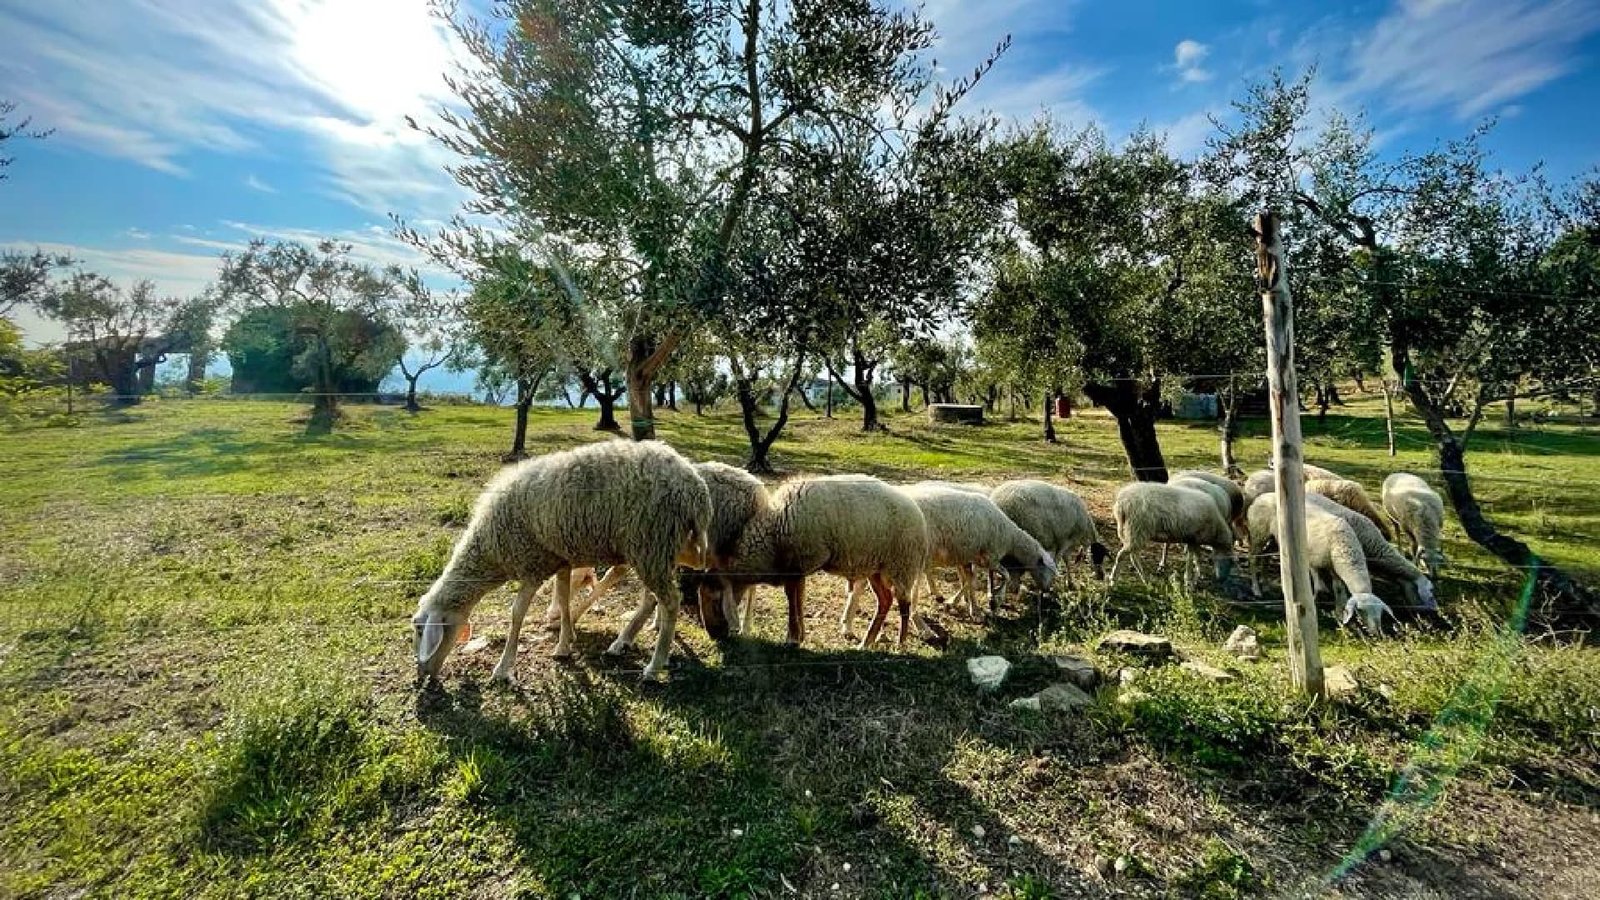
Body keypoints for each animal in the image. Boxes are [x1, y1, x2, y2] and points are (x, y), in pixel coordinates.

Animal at [411, 439, 712, 684]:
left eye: (419, 630)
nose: (421, 675)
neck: (490, 548)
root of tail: (696, 489)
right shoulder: (561, 558)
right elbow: (564, 598)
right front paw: (564, 644)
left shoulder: (533, 565)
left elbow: (517, 614)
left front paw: (503, 668)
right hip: (660, 548)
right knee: (654, 597)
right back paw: (625, 640)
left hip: (650, 543)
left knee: (670, 601)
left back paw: (653, 666)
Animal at [714, 475, 930, 649]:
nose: (718, 634)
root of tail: (920, 518)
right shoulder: (798, 567)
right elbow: (797, 597)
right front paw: (799, 635)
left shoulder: (798, 561)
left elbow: (791, 597)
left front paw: (792, 638)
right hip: (876, 568)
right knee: (885, 600)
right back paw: (866, 642)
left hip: (901, 566)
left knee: (904, 604)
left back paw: (900, 643)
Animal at [1108, 482, 1237, 587]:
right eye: (1231, 563)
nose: (1221, 580)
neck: (1217, 529)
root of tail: (1122, 502)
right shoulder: (1194, 538)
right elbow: (1192, 559)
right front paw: (1189, 581)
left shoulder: (1193, 540)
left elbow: (1196, 558)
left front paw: (1196, 576)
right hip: (1138, 529)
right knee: (1122, 555)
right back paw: (1113, 580)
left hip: (1132, 531)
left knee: (1133, 556)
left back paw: (1144, 579)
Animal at [1246, 494, 1392, 633]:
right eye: (1361, 610)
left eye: (1380, 612)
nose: (1376, 633)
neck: (1346, 547)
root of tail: (1260, 497)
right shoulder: (1320, 562)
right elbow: (1324, 587)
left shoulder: (1335, 569)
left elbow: (1339, 589)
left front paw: (1340, 614)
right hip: (1258, 534)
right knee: (1253, 558)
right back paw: (1256, 589)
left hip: (1274, 539)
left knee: (1265, 558)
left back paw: (1266, 585)